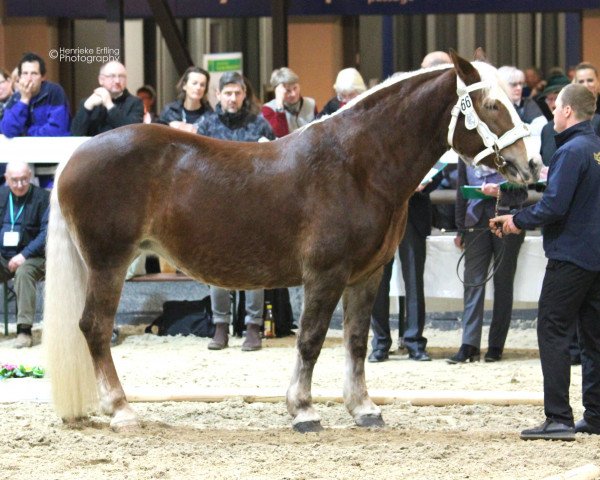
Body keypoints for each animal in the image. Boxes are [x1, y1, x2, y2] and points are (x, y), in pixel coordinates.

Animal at [43, 51, 540, 432]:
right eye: (492, 105)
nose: (531, 164)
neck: (358, 165)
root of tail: (74, 156)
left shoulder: (368, 275)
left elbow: (356, 341)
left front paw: (363, 409)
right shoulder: (325, 274)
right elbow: (312, 339)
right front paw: (302, 411)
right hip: (108, 263)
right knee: (95, 328)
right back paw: (122, 411)